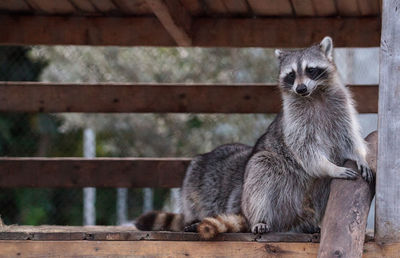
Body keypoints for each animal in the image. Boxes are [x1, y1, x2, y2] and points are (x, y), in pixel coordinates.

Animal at [135, 37, 372, 239]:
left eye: (310, 70)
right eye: (291, 75)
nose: (301, 88)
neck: (314, 96)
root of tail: (291, 221)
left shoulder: (341, 107)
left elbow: (348, 138)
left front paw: (359, 156)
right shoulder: (294, 121)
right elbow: (304, 149)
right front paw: (331, 167)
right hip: (263, 192)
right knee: (262, 166)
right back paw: (260, 218)